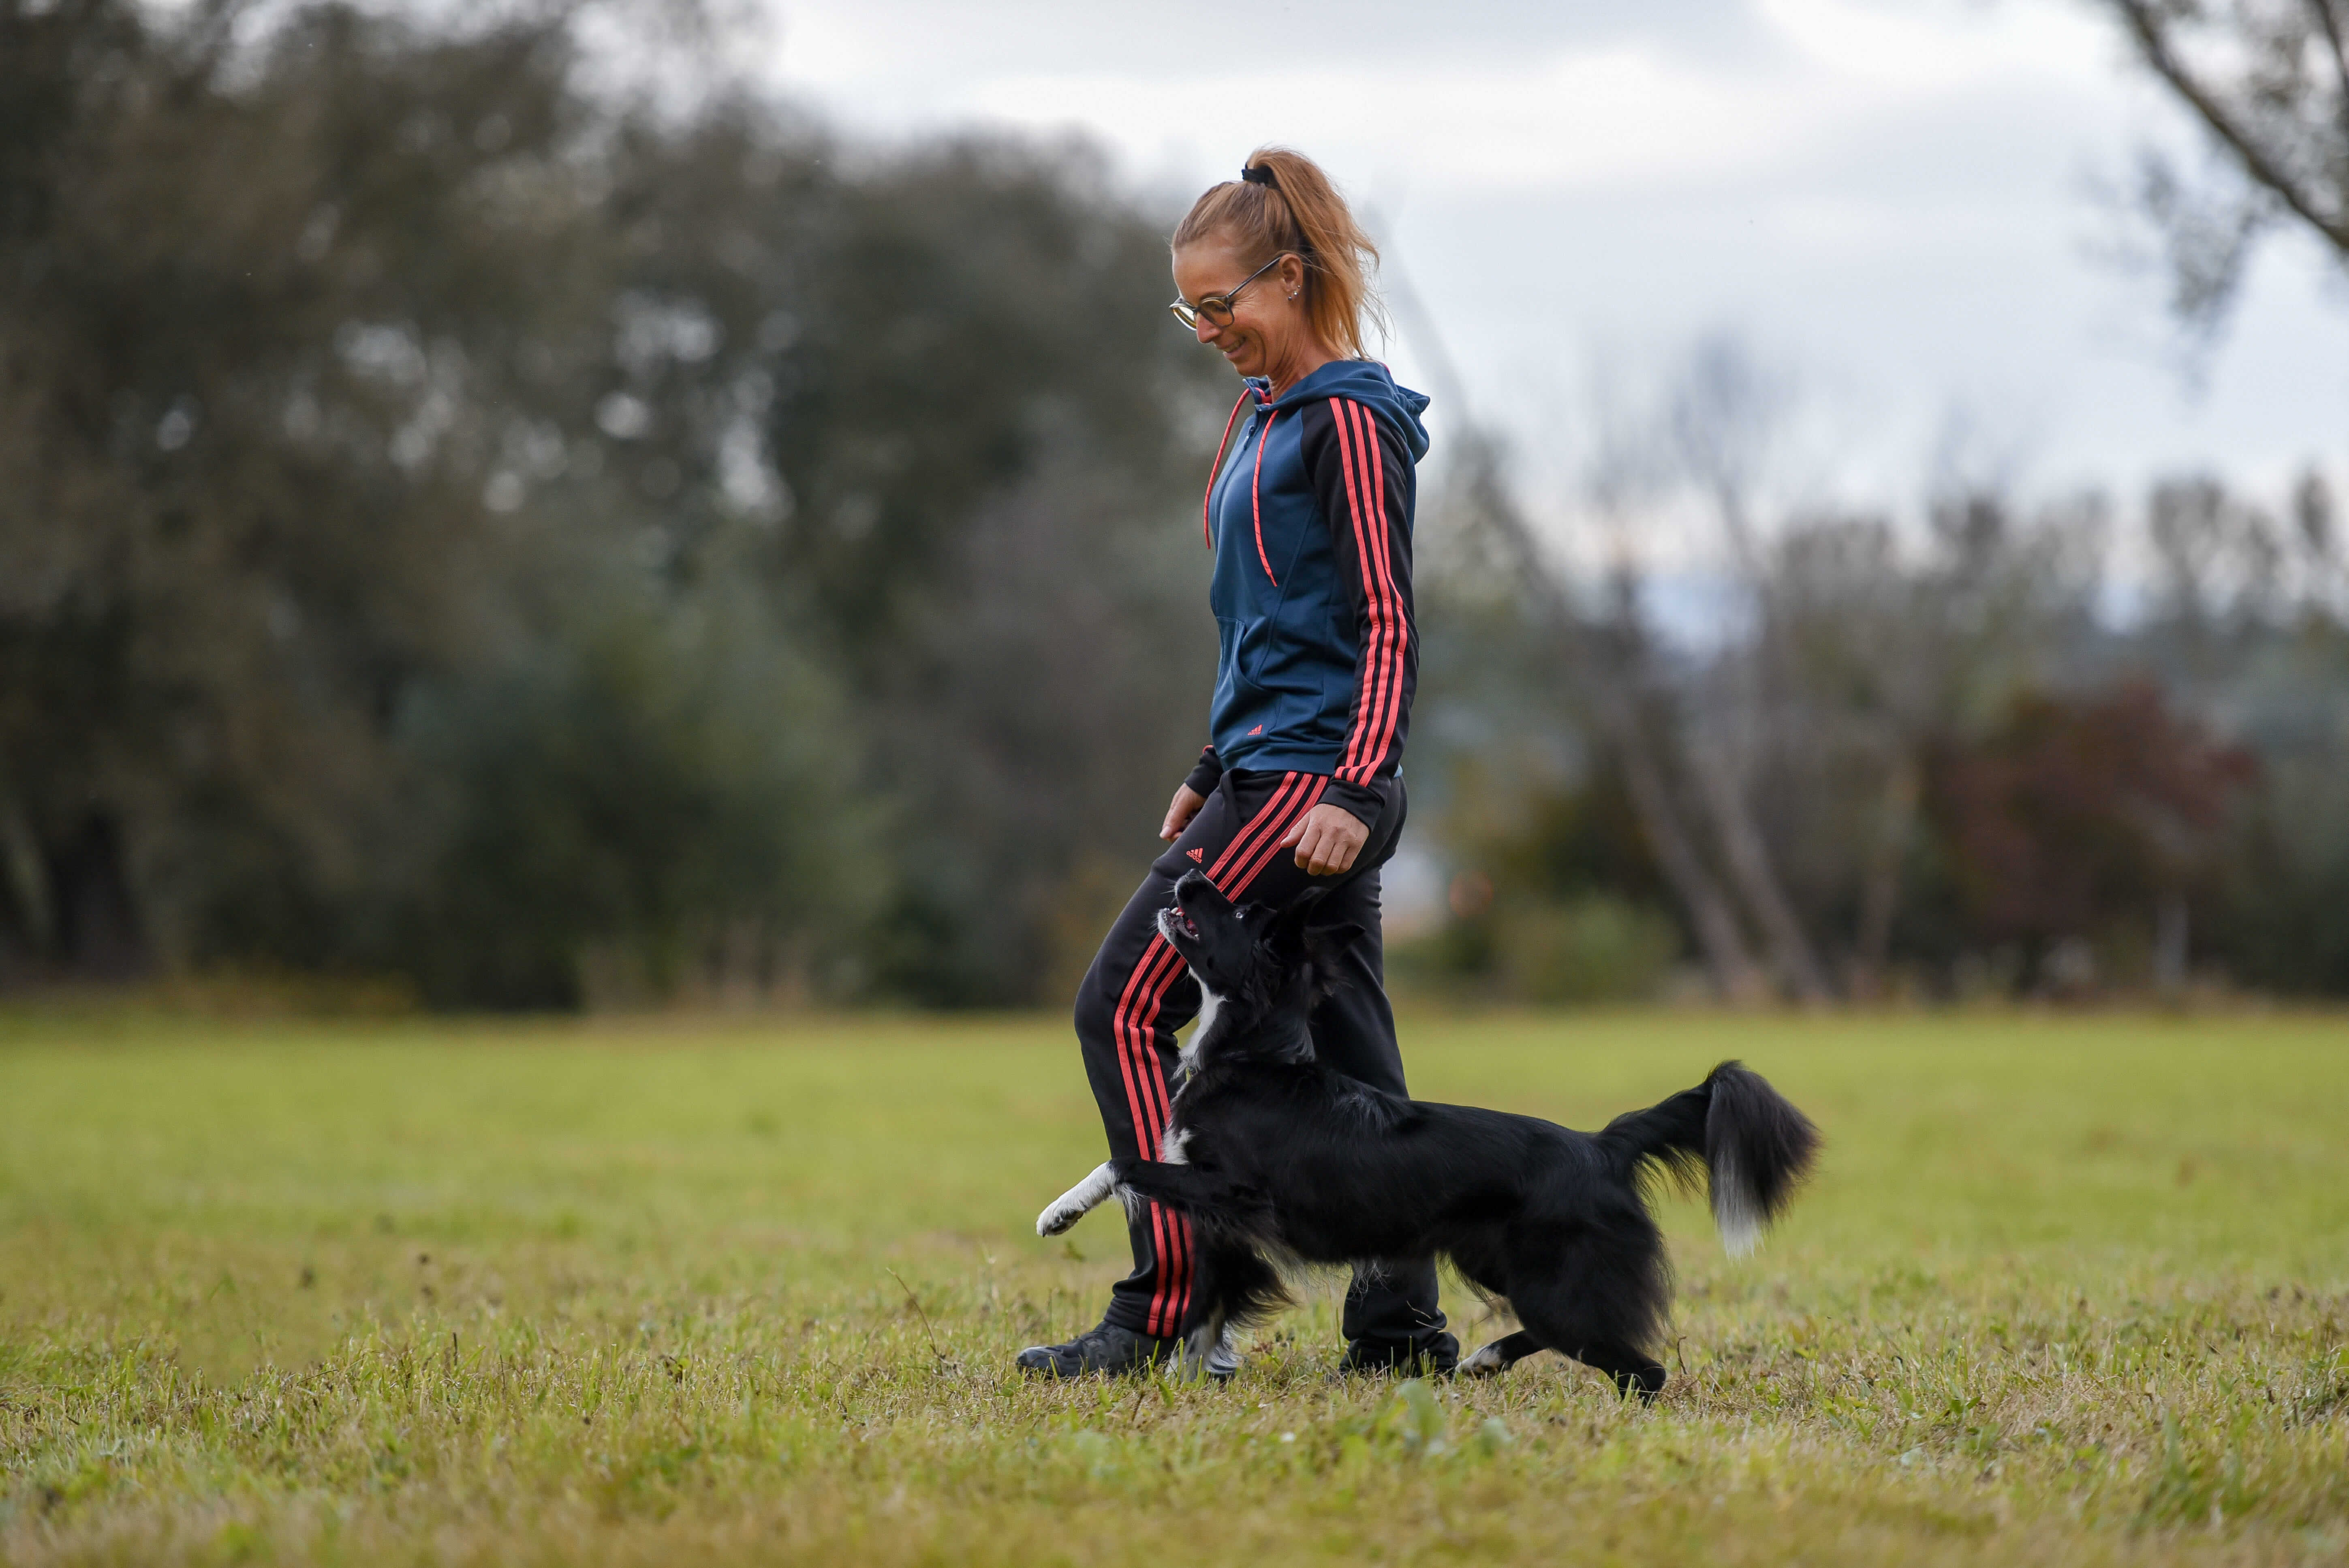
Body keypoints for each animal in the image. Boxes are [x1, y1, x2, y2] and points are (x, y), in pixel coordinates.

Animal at [1038, 868, 1823, 1399]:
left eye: (1235, 910)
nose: (1192, 874)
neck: (1252, 1055)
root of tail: (1602, 1145)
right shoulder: (1226, 1225)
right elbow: (1201, 1289)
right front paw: (1186, 1367)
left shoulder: (1236, 1196)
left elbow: (1130, 1163)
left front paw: (1061, 1215)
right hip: (1500, 1263)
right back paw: (1483, 1360)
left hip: (1554, 1282)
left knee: (1643, 1369)